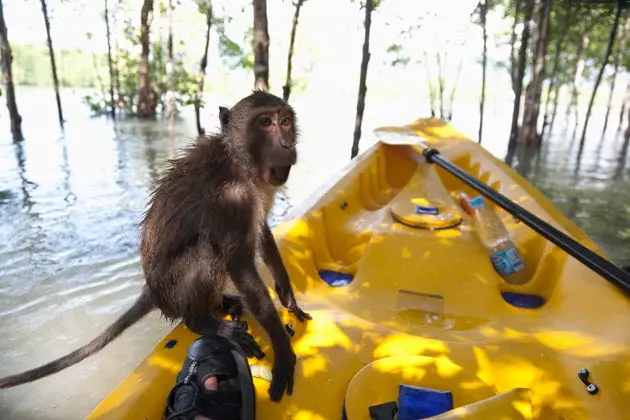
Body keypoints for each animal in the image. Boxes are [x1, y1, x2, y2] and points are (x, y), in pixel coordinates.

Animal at [0, 92, 312, 404]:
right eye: (266, 123)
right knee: (205, 251)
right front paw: (283, 350)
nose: (287, 144)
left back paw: (219, 303)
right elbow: (239, 262)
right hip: (172, 286)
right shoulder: (232, 197)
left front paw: (287, 295)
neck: (241, 162)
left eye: (285, 121)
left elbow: (261, 233)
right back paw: (203, 321)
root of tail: (152, 289)